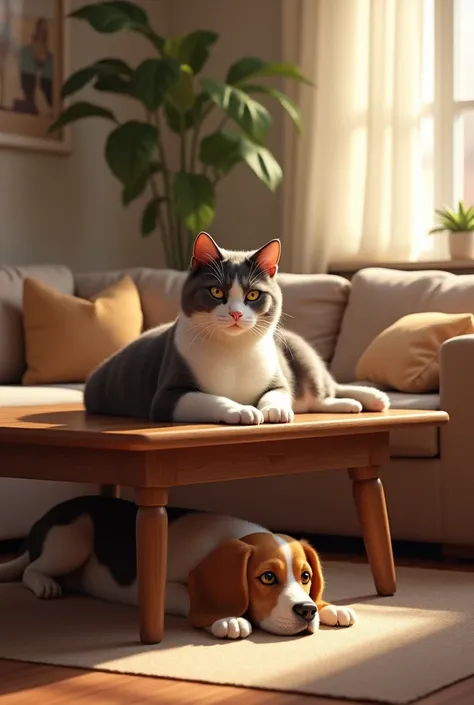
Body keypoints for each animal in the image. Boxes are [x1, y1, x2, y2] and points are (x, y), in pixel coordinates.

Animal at [0, 496, 356, 640]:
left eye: (306, 576)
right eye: (267, 577)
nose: (307, 611)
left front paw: (330, 607)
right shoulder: (162, 587)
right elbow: (190, 599)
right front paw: (226, 619)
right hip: (72, 540)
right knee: (30, 569)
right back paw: (45, 584)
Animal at [84, 232, 388, 424]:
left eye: (253, 295)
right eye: (216, 291)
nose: (236, 313)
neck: (233, 350)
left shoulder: (278, 377)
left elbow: (279, 393)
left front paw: (274, 410)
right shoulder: (167, 394)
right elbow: (208, 398)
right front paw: (242, 410)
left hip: (299, 350)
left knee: (323, 390)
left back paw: (369, 398)